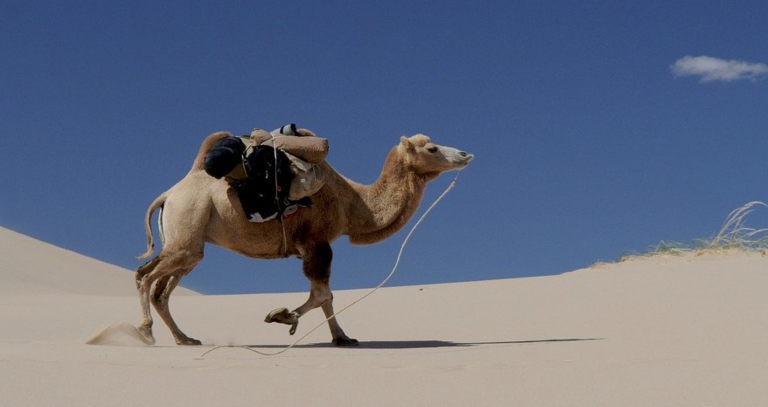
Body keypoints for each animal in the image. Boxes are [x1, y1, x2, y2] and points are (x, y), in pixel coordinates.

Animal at [135, 131, 474, 346]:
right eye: (431, 149)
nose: (465, 154)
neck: (354, 203)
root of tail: (169, 194)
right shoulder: (316, 242)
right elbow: (323, 294)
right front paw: (282, 316)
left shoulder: (314, 246)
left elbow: (326, 296)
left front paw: (343, 338)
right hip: (186, 227)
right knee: (145, 277)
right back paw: (146, 332)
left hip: (189, 245)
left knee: (160, 289)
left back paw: (184, 338)